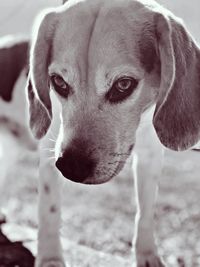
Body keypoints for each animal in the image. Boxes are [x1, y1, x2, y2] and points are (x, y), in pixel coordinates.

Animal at [25, 0, 200, 266]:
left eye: (123, 85)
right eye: (59, 82)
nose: (71, 166)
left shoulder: (150, 157)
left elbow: (145, 211)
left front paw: (147, 254)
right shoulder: (49, 152)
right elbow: (49, 209)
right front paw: (50, 257)